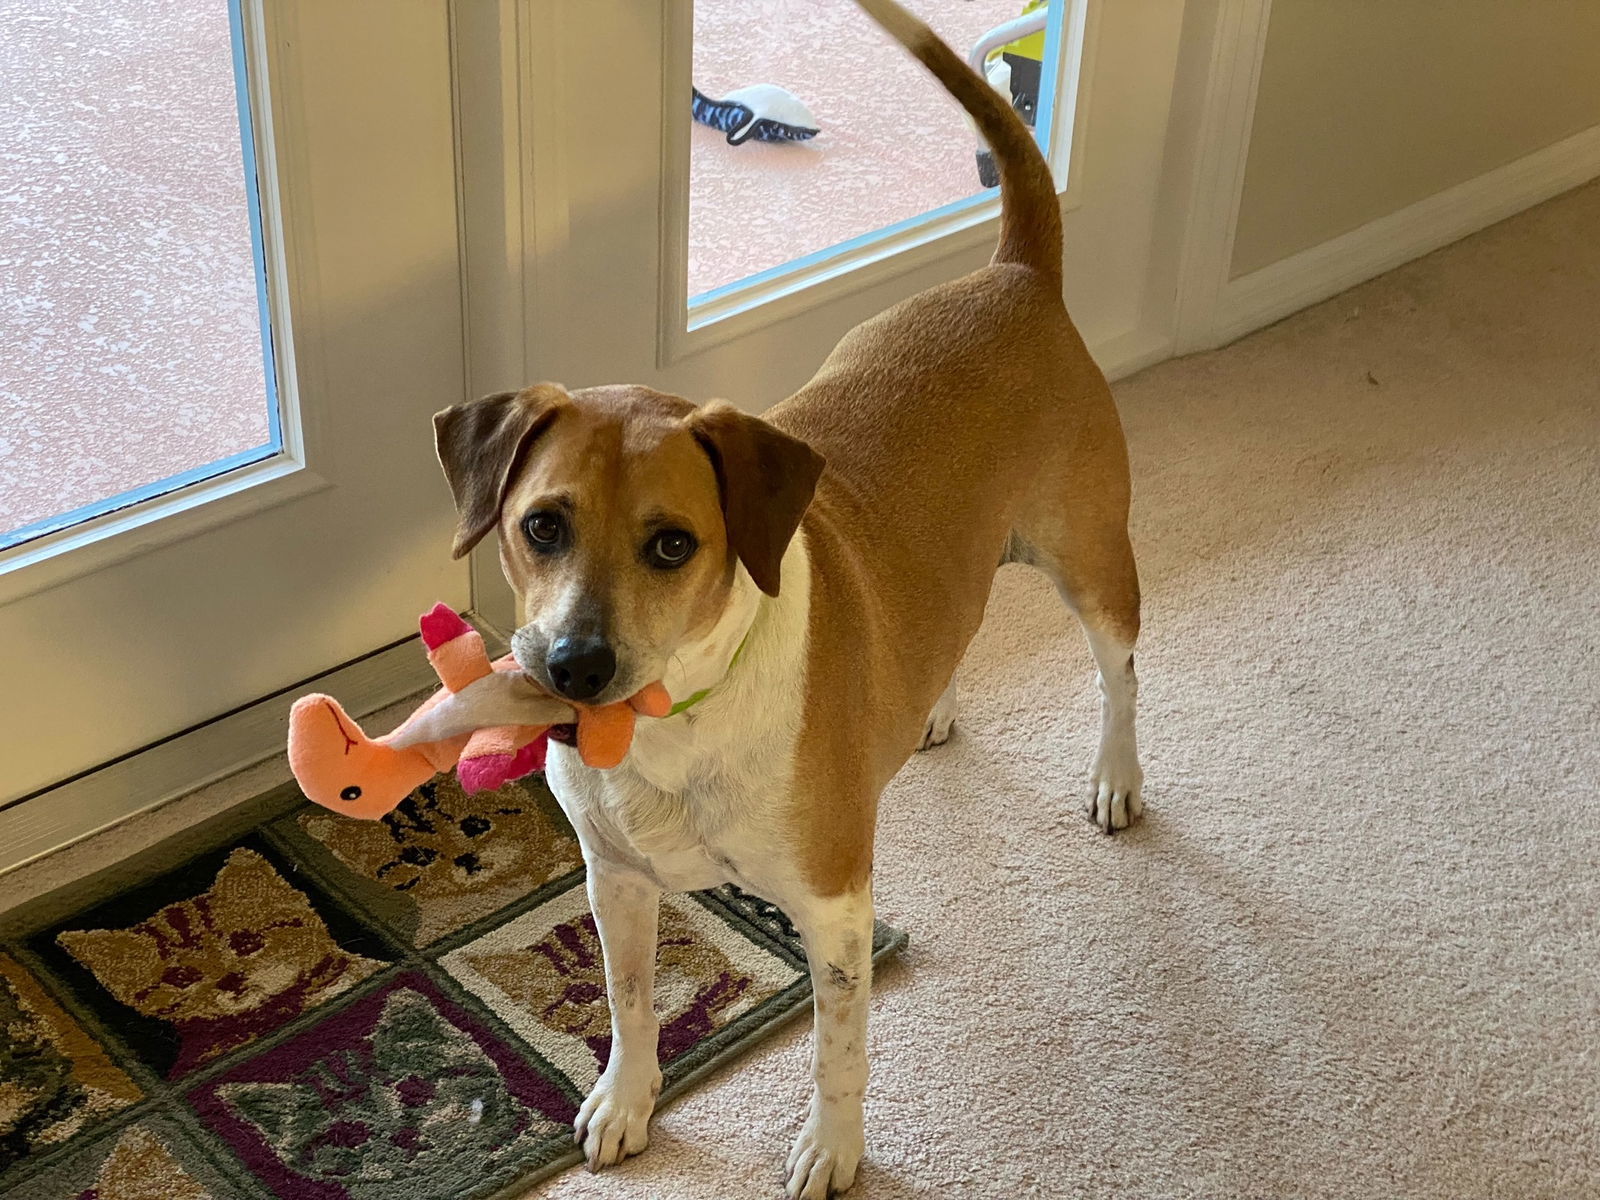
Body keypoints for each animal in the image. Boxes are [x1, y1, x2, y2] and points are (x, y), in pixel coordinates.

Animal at [432, 4, 1145, 1196]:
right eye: (541, 526)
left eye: (674, 544)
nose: (574, 668)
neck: (678, 720)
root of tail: (1014, 275)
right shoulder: (615, 879)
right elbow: (629, 1005)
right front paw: (627, 1102)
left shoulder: (835, 906)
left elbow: (836, 1049)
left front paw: (832, 1150)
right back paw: (932, 710)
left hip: (1091, 557)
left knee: (1122, 673)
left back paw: (1119, 779)